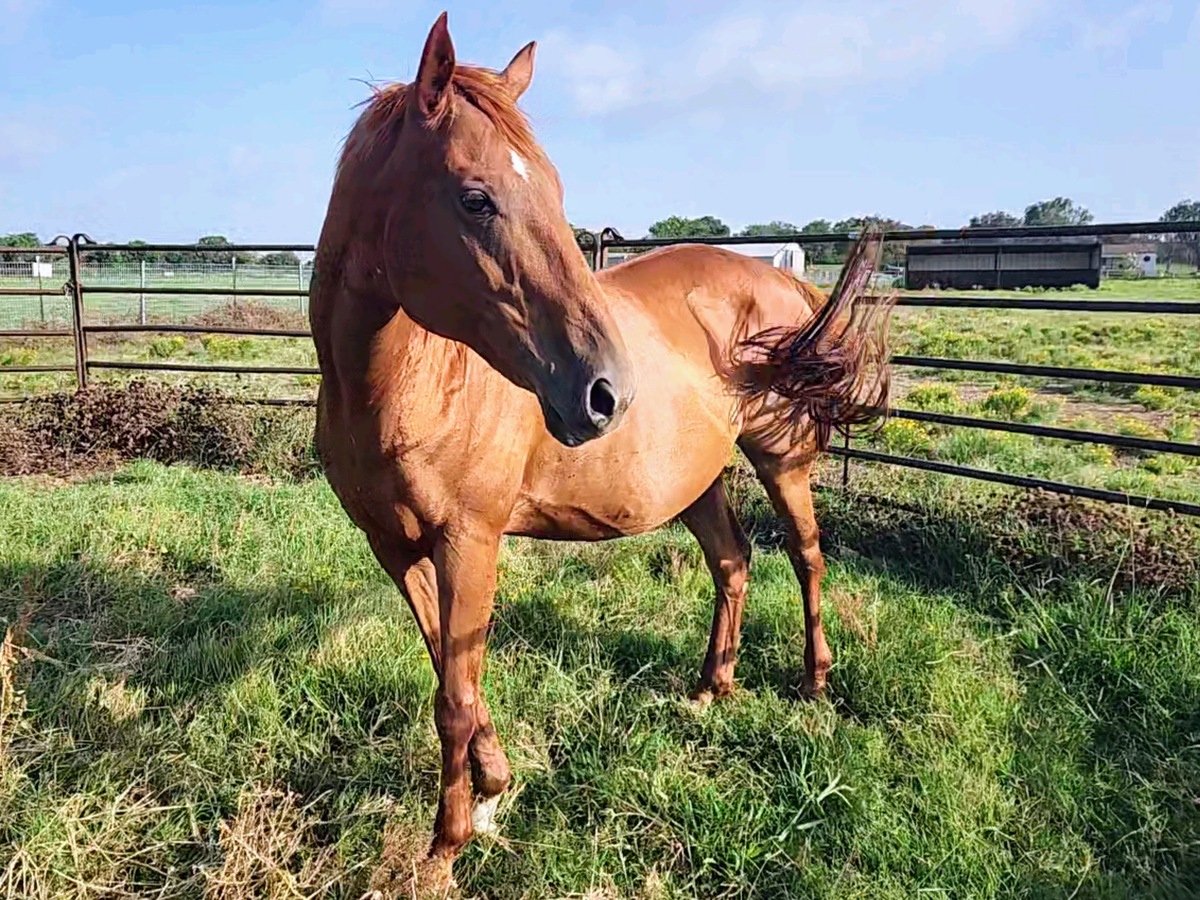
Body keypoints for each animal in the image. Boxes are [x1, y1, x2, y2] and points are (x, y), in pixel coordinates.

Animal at [308, 11, 896, 875]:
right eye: (476, 198)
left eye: (554, 191)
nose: (604, 393)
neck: (403, 388)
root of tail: (784, 281)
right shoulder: (393, 544)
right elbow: (451, 668)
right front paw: (493, 785)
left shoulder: (470, 542)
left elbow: (453, 696)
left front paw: (447, 844)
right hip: (698, 479)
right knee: (733, 561)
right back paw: (712, 687)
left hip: (781, 460)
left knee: (807, 555)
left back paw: (815, 681)